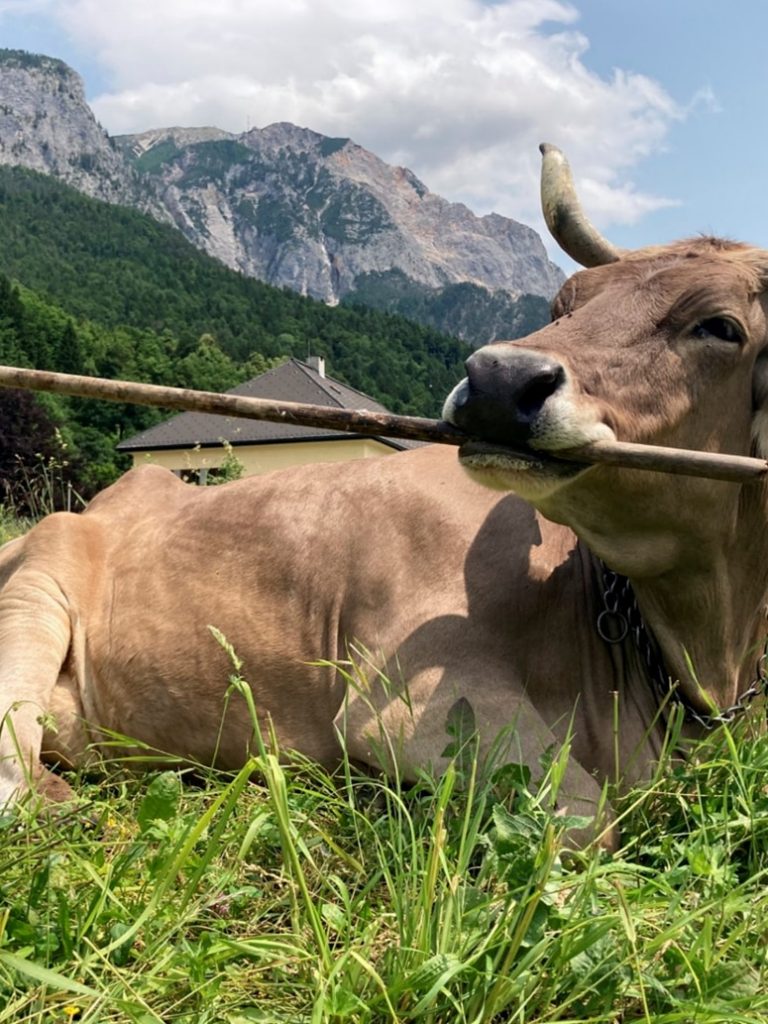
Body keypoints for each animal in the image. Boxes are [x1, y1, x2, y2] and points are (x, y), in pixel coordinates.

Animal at [2, 143, 767, 847]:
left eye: (721, 326)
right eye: (564, 303)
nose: (497, 379)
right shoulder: (413, 702)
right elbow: (590, 822)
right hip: (31, 597)